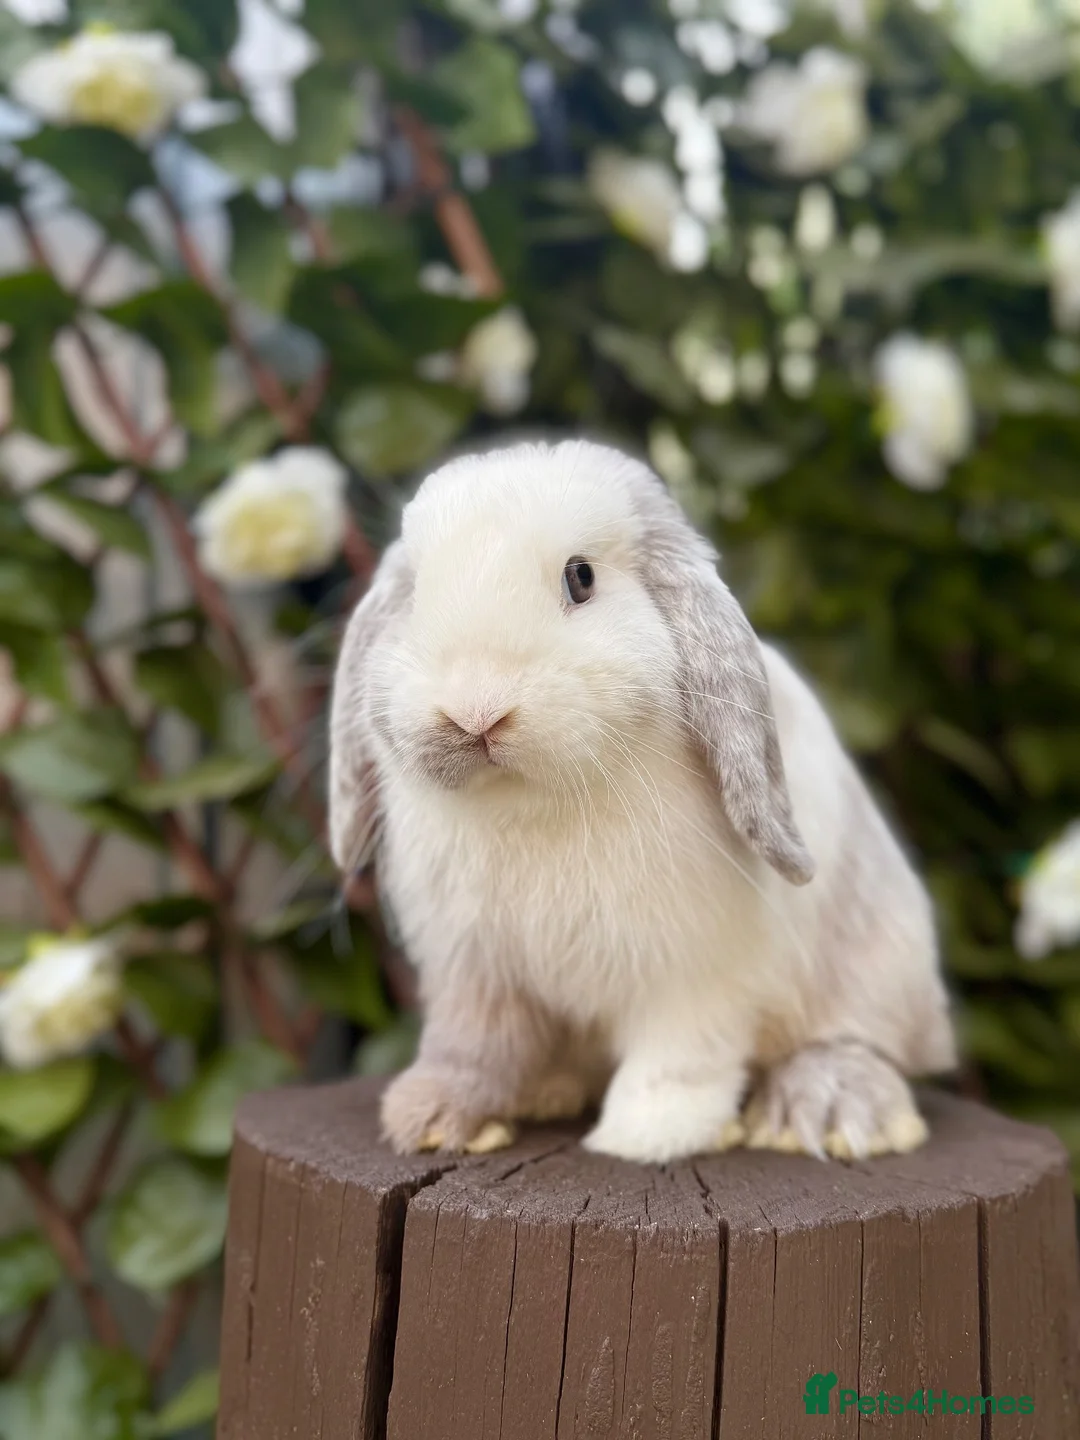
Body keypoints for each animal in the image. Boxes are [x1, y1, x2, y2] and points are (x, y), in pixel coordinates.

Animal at [328, 439, 957, 1164]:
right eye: (415, 594)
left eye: (581, 578)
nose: (474, 713)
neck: (528, 802)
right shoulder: (476, 968)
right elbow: (473, 1043)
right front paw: (434, 1118)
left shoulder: (693, 971)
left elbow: (678, 1054)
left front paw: (648, 1137)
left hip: (879, 965)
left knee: (861, 1042)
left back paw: (826, 1112)